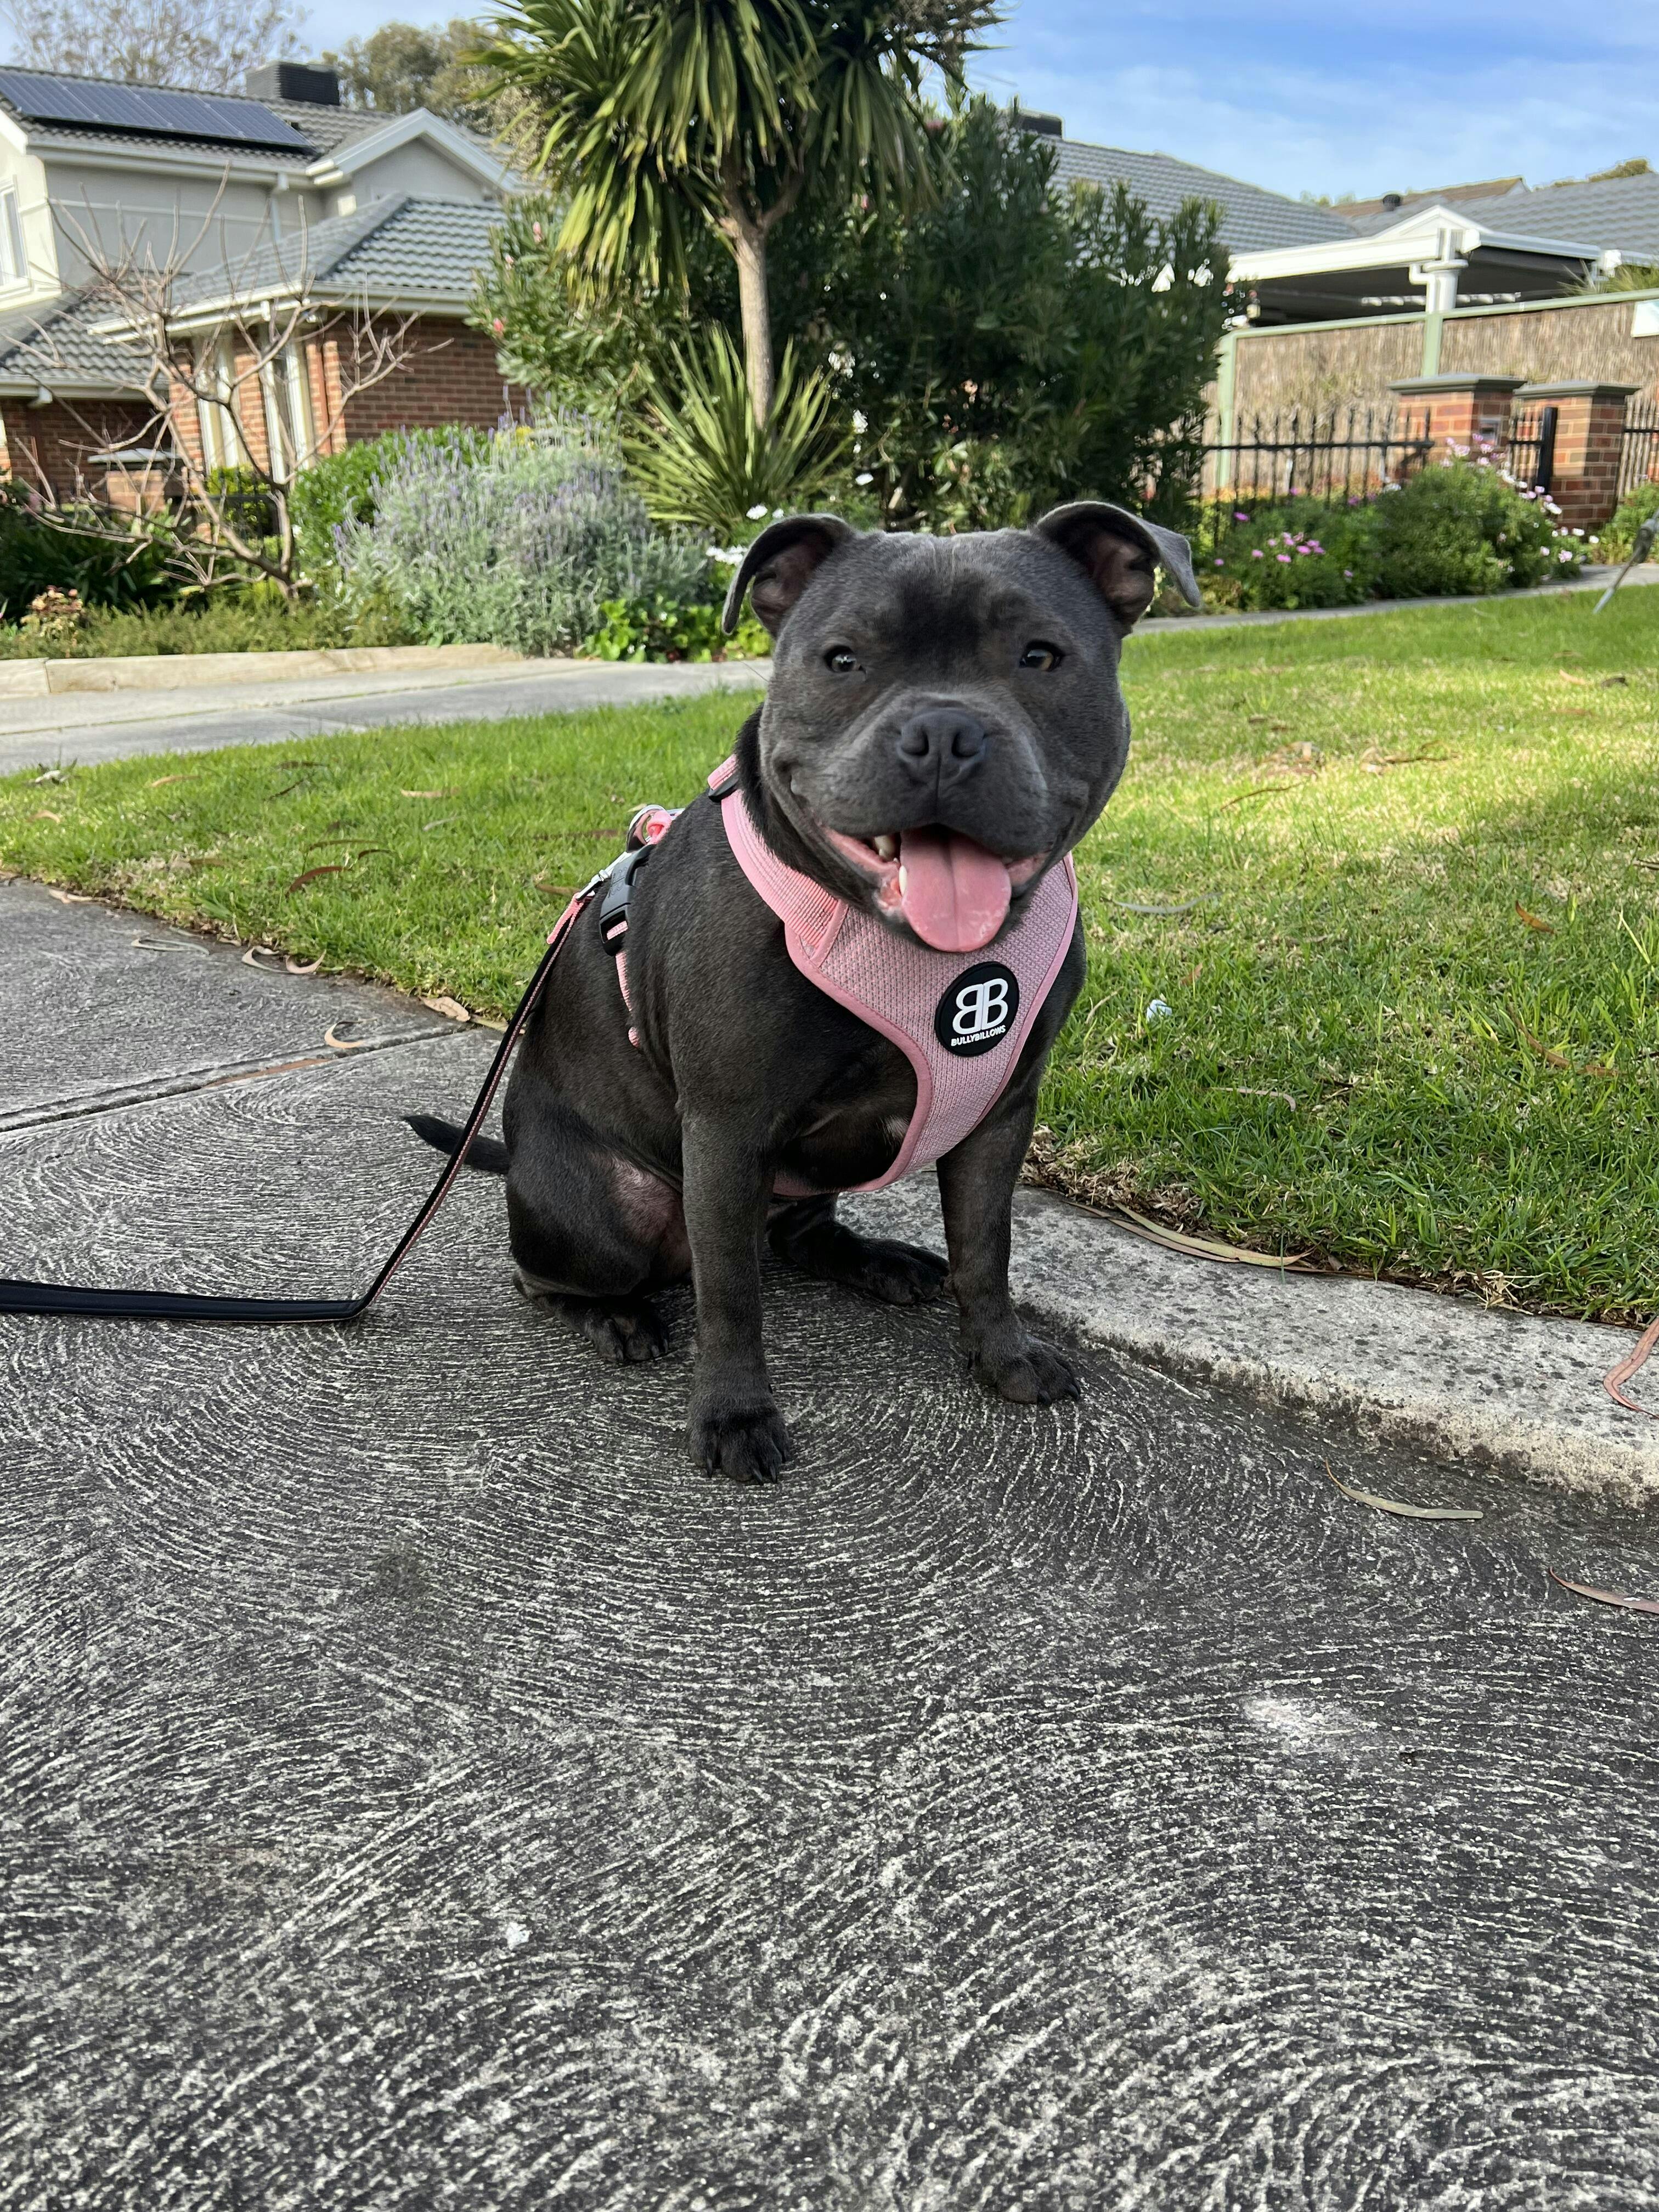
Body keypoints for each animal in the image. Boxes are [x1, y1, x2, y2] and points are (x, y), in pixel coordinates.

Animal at [410, 502, 1198, 1481]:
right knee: (553, 1275)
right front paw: (735, 1415)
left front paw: (1003, 1356)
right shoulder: (726, 1130)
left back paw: (875, 1259)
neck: (918, 950)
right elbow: (731, 1299)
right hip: (602, 1209)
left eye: (1040, 656)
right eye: (843, 659)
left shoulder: (1000, 1116)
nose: (944, 733)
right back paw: (616, 1315)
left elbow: (985, 1251)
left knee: (797, 1234)